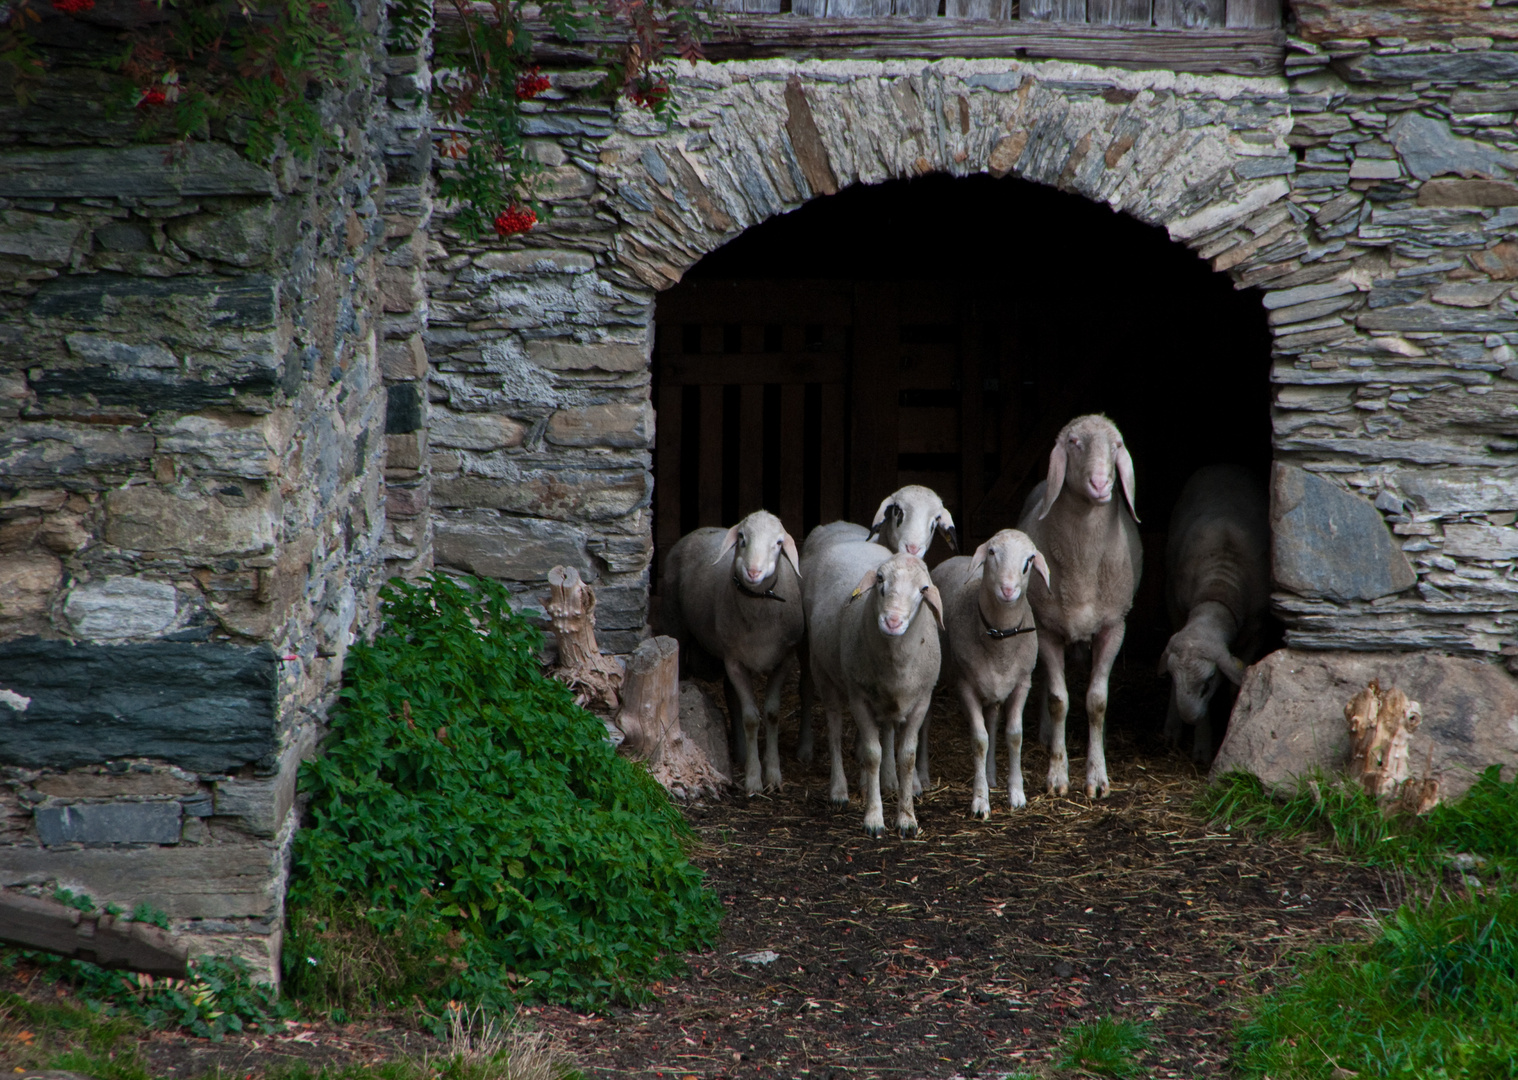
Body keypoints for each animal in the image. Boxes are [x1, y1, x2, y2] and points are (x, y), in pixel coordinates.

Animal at [661, 510, 807, 795]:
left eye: (778, 543)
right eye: (741, 537)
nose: (753, 571)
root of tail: (700, 529)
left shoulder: (784, 661)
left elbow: (772, 713)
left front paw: (773, 774)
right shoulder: (734, 661)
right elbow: (751, 717)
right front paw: (753, 778)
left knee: (730, 695)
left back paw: (740, 752)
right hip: (677, 623)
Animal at [795, 486, 959, 771]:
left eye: (935, 521)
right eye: (898, 511)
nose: (912, 548)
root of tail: (839, 523)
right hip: (809, 646)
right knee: (808, 688)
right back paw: (805, 747)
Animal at [929, 531, 1050, 820]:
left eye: (1029, 560)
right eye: (992, 553)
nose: (1007, 590)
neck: (1000, 637)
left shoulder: (1022, 684)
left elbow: (1014, 735)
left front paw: (1016, 795)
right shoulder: (965, 687)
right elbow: (979, 739)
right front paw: (980, 800)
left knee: (993, 720)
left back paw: (992, 774)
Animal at [1014, 413, 1141, 802]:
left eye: (1117, 445)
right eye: (1074, 442)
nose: (1100, 483)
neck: (1083, 564)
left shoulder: (1114, 627)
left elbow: (1096, 701)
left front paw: (1097, 777)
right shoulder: (1046, 628)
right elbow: (1059, 699)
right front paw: (1057, 775)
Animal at [1159, 461, 1269, 759]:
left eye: (1208, 683)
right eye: (1172, 677)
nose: (1189, 717)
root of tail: (1225, 463)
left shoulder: (1256, 630)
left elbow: (1234, 687)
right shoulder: (1176, 607)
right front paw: (1201, 744)